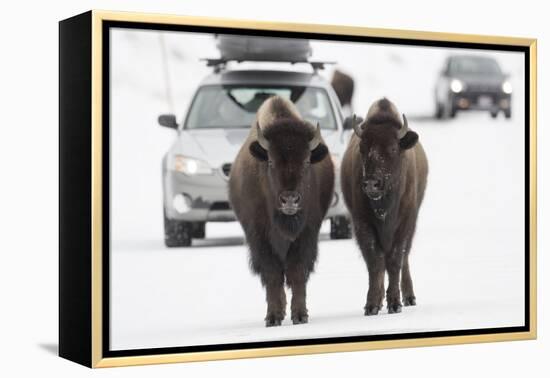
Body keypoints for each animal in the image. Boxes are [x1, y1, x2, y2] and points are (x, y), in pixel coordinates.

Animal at [342, 98, 430, 316]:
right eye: (363, 148)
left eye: (392, 148)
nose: (371, 184)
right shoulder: (362, 223)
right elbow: (375, 261)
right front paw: (372, 304)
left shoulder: (405, 223)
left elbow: (395, 260)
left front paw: (395, 303)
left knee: (404, 259)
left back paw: (409, 297)